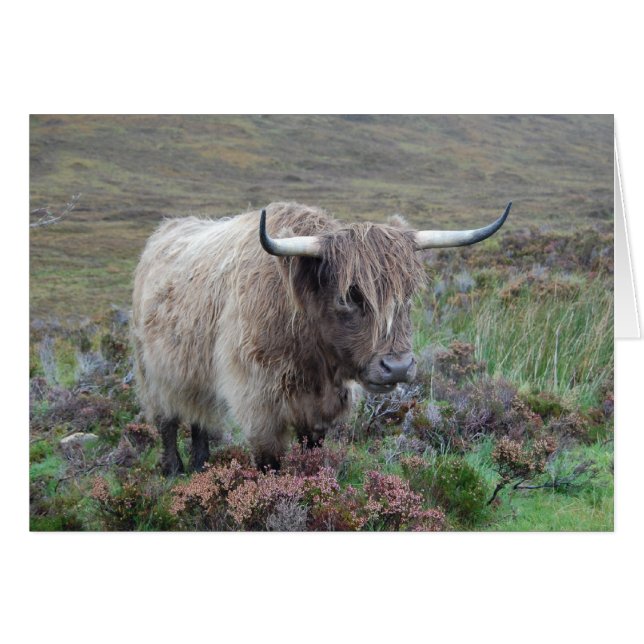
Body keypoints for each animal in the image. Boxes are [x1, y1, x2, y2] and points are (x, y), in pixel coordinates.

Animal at [131, 201, 511, 474]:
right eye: (348, 297)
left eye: (407, 295)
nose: (398, 367)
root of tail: (164, 231)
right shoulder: (258, 400)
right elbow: (269, 461)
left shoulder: (319, 406)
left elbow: (311, 449)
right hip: (152, 371)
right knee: (166, 419)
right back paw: (173, 469)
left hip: (194, 373)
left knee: (197, 416)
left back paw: (201, 465)